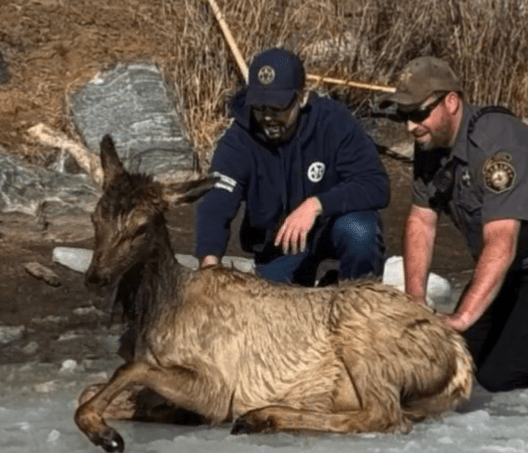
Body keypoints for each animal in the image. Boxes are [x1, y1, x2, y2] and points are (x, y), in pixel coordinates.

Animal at [74, 135, 474, 452]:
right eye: (95, 218)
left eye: (142, 227)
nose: (95, 277)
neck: (157, 313)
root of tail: (460, 357)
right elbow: (90, 388)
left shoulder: (217, 386)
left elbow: (131, 368)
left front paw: (106, 434)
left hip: (363, 335)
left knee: (384, 415)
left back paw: (261, 416)